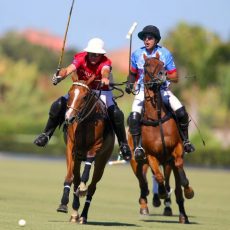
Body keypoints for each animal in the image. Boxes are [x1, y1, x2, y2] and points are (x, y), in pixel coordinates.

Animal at [56, 80, 114, 224]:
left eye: (84, 97)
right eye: (70, 93)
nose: (68, 118)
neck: (86, 121)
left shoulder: (96, 147)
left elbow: (87, 171)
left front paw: (83, 188)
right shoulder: (71, 148)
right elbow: (69, 178)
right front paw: (63, 204)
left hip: (102, 162)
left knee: (92, 187)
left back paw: (83, 215)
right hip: (77, 159)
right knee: (76, 180)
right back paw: (75, 214)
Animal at [128, 53, 195, 223]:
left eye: (163, 64)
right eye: (146, 65)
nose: (162, 75)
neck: (156, 116)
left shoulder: (176, 149)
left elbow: (179, 171)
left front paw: (188, 190)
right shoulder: (151, 155)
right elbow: (158, 177)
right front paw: (162, 193)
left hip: (166, 162)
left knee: (175, 189)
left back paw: (182, 215)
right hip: (135, 162)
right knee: (143, 182)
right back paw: (146, 203)